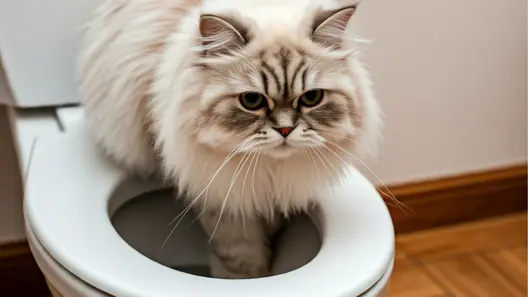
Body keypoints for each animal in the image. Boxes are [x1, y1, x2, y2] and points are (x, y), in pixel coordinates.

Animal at [78, 0, 382, 278]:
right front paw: (251, 278)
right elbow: (241, 258)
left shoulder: (275, 195)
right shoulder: (223, 196)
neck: (269, 169)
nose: (285, 130)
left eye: (311, 98)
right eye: (252, 101)